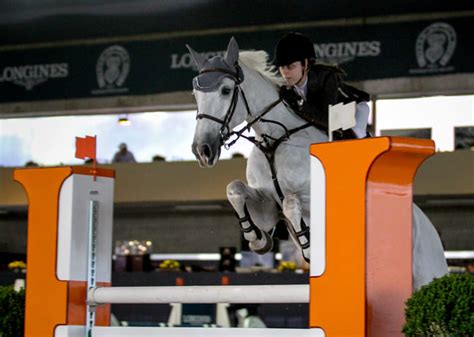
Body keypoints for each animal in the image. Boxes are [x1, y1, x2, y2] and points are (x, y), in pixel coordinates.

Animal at [187, 38, 446, 288]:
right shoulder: (268, 205)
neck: (275, 142)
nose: (202, 149)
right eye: (196, 95)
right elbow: (235, 190)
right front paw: (258, 239)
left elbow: (291, 202)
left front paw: (310, 249)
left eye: (226, 90)